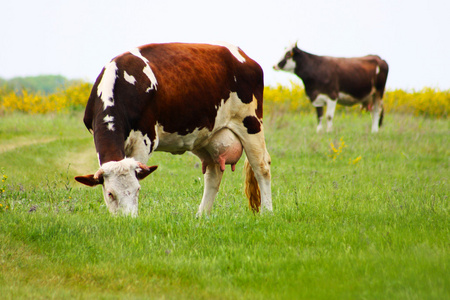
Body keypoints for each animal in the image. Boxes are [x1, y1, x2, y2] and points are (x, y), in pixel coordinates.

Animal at [74, 41, 270, 216]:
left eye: (138, 189)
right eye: (110, 194)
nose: (127, 220)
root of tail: (242, 55)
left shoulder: (144, 140)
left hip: (251, 123)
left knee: (262, 166)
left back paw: (267, 212)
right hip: (209, 136)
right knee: (213, 175)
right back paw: (201, 216)